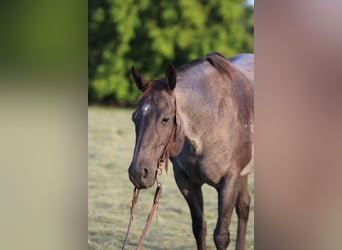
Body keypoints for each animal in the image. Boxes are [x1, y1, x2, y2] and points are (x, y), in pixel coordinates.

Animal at [128, 51, 254, 249]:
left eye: (165, 119)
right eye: (134, 118)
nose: (138, 173)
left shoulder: (229, 182)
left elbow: (221, 235)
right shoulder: (187, 182)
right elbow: (199, 229)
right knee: (244, 206)